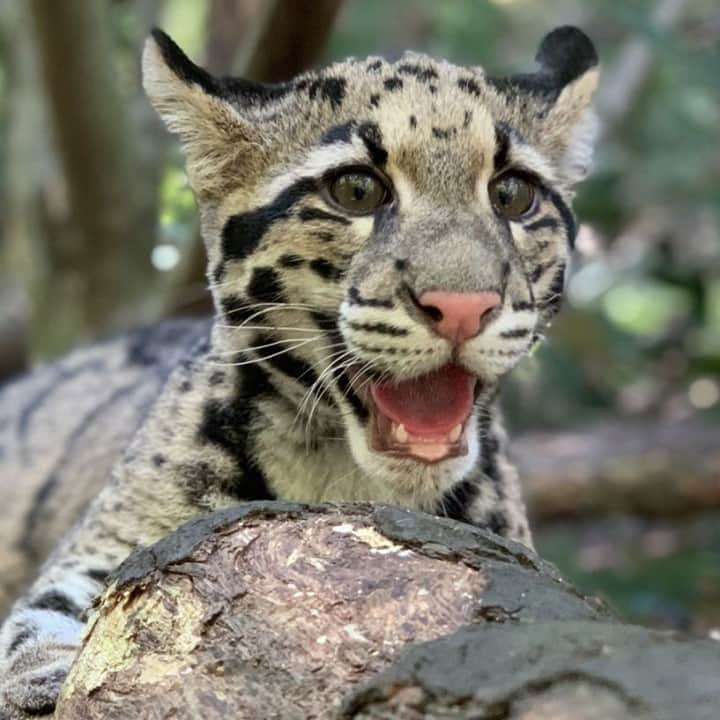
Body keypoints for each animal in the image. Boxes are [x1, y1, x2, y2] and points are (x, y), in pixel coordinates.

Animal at [0, 26, 596, 716]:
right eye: (357, 190)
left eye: (512, 195)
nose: (464, 307)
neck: (342, 475)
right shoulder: (106, 539)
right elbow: (41, 613)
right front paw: (47, 676)